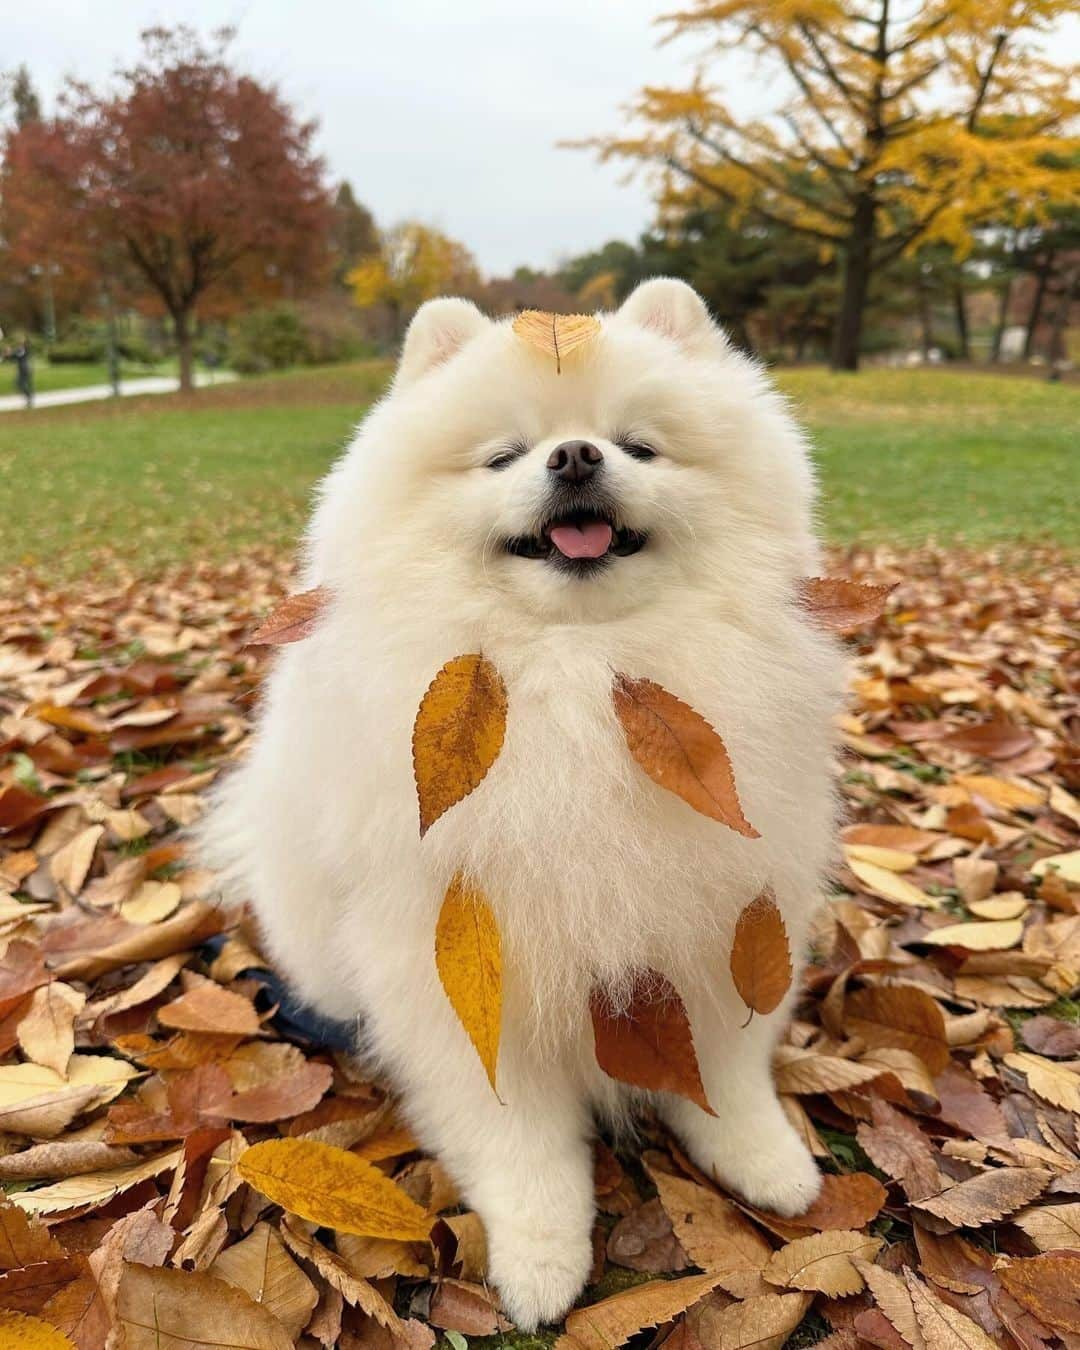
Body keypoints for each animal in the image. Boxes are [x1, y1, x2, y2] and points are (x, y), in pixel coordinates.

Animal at [199, 276, 842, 1328]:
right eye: (502, 455)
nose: (575, 455)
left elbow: (728, 1061)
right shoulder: (458, 955)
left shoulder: (725, 911)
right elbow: (514, 1134)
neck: (579, 670)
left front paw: (762, 1156)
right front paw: (542, 1250)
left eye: (638, 445)